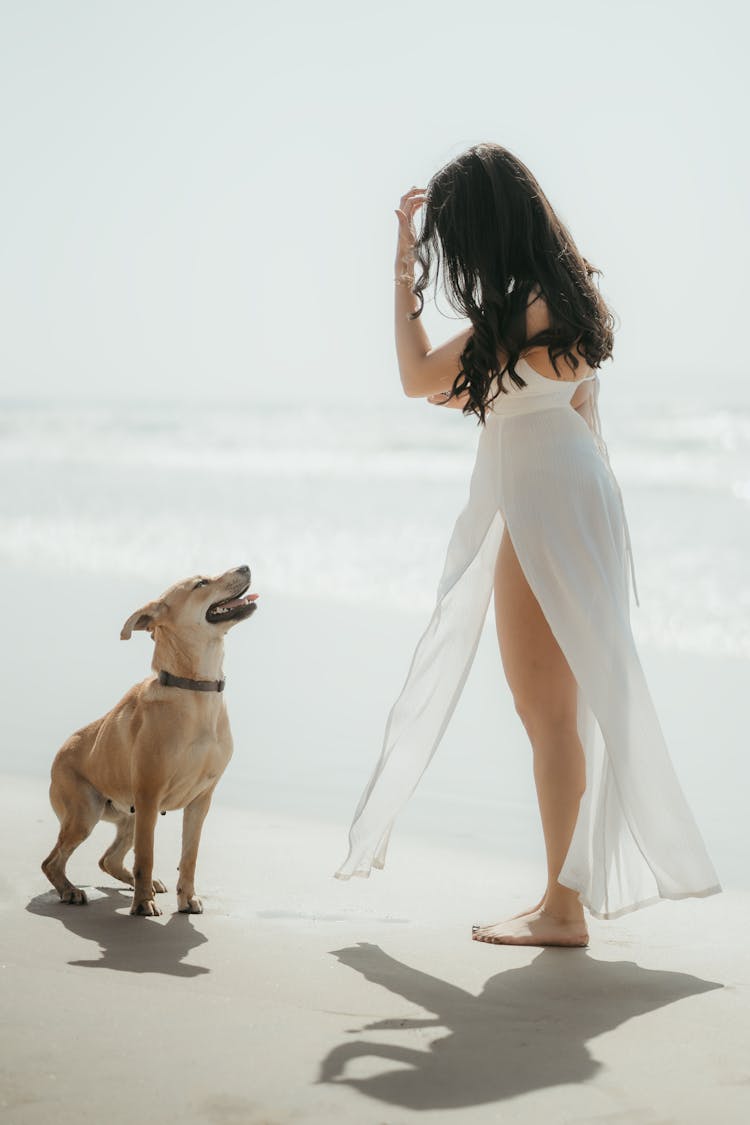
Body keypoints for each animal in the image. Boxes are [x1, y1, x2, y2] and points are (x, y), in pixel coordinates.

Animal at [41, 567, 258, 918]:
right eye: (201, 584)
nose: (246, 567)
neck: (195, 689)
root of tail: (59, 753)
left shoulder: (201, 800)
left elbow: (189, 857)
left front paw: (186, 899)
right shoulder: (149, 794)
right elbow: (147, 855)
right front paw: (142, 903)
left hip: (129, 816)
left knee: (108, 859)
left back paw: (145, 883)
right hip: (86, 814)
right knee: (52, 862)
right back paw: (71, 890)